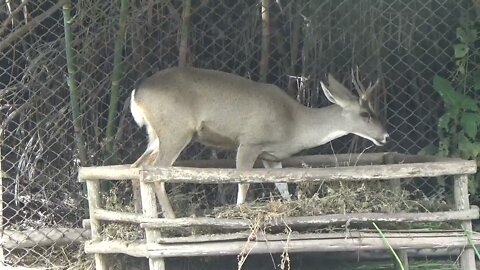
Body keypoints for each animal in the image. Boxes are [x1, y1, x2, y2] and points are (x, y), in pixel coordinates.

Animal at [129, 67, 388, 217]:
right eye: (366, 114)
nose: (385, 135)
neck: (294, 124)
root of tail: (136, 93)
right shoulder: (249, 142)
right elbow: (243, 181)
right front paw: (239, 211)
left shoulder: (270, 156)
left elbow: (283, 187)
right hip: (176, 130)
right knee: (156, 171)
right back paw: (170, 218)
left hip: (156, 135)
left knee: (136, 167)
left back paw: (139, 215)